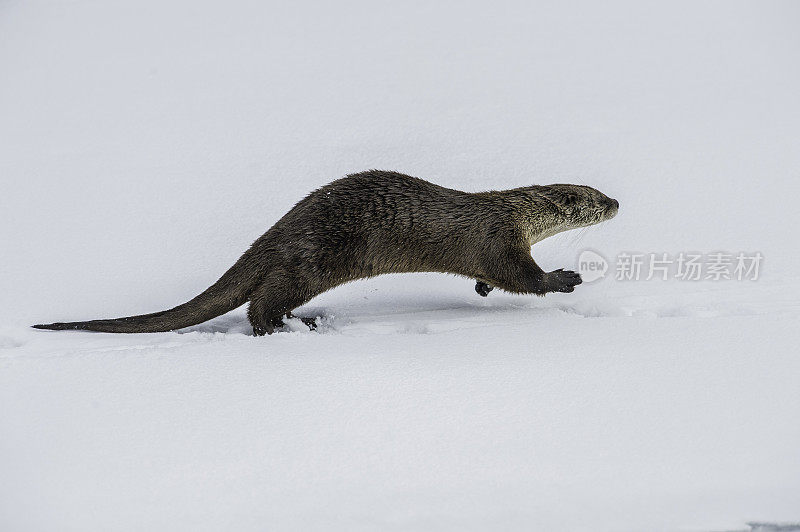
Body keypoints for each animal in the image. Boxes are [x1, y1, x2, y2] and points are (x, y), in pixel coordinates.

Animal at [31, 170, 620, 334]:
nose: (617, 201)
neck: (515, 213)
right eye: (593, 201)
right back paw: (297, 326)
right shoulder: (499, 240)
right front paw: (566, 279)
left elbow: (492, 279)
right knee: (261, 305)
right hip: (314, 259)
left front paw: (478, 289)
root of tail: (278, 231)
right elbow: (522, 278)